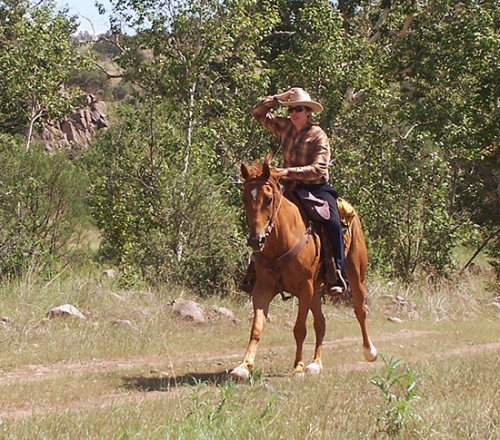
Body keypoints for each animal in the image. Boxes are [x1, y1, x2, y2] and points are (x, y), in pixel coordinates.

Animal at [229, 159, 376, 382]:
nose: (256, 240)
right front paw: (243, 367)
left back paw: (369, 351)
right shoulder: (263, 288)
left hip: (356, 277)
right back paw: (315, 364)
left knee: (360, 311)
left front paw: (297, 367)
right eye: (245, 198)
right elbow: (257, 328)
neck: (281, 240)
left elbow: (299, 329)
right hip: (316, 291)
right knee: (321, 323)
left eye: (268, 199)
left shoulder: (305, 288)